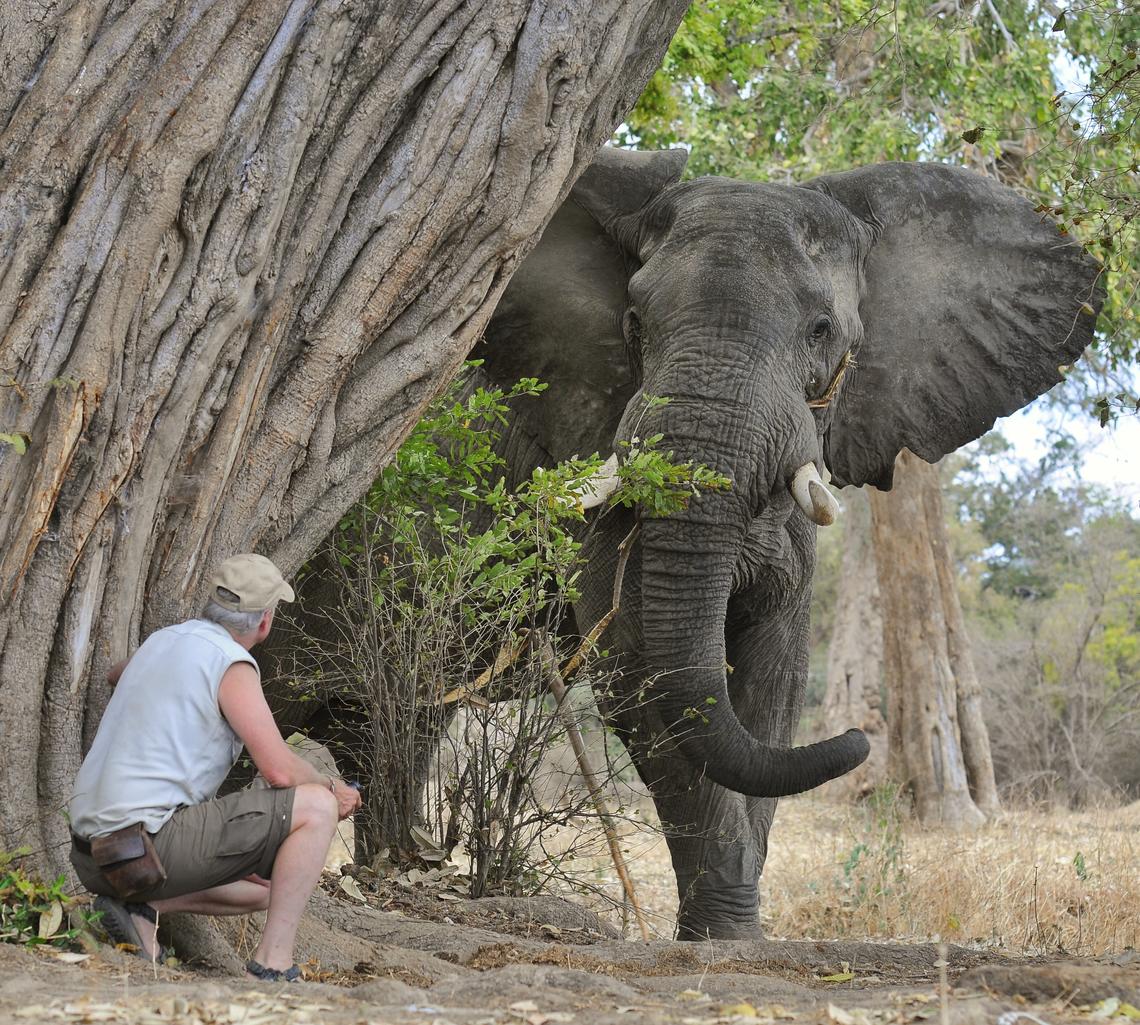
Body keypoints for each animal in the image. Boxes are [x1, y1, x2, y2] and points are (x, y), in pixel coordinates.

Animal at [467, 148, 1098, 944]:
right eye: (635, 323)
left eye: (821, 328)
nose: (861, 735)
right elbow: (642, 675)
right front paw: (725, 931)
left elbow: (772, 678)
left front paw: (734, 929)